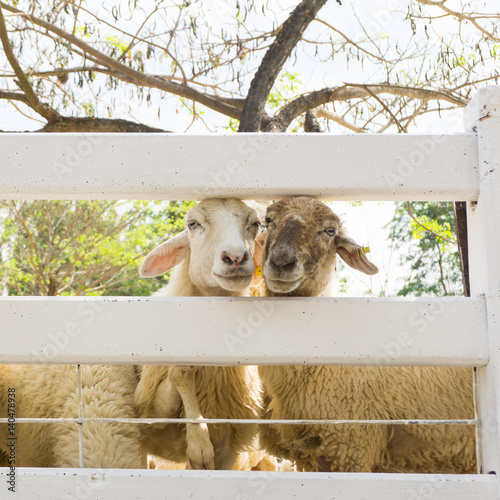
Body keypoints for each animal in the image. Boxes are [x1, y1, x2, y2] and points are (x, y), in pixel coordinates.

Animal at [133, 197, 266, 470]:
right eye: (192, 224)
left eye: (255, 224)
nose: (235, 257)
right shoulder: (149, 413)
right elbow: (179, 371)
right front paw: (199, 443)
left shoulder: (229, 448)